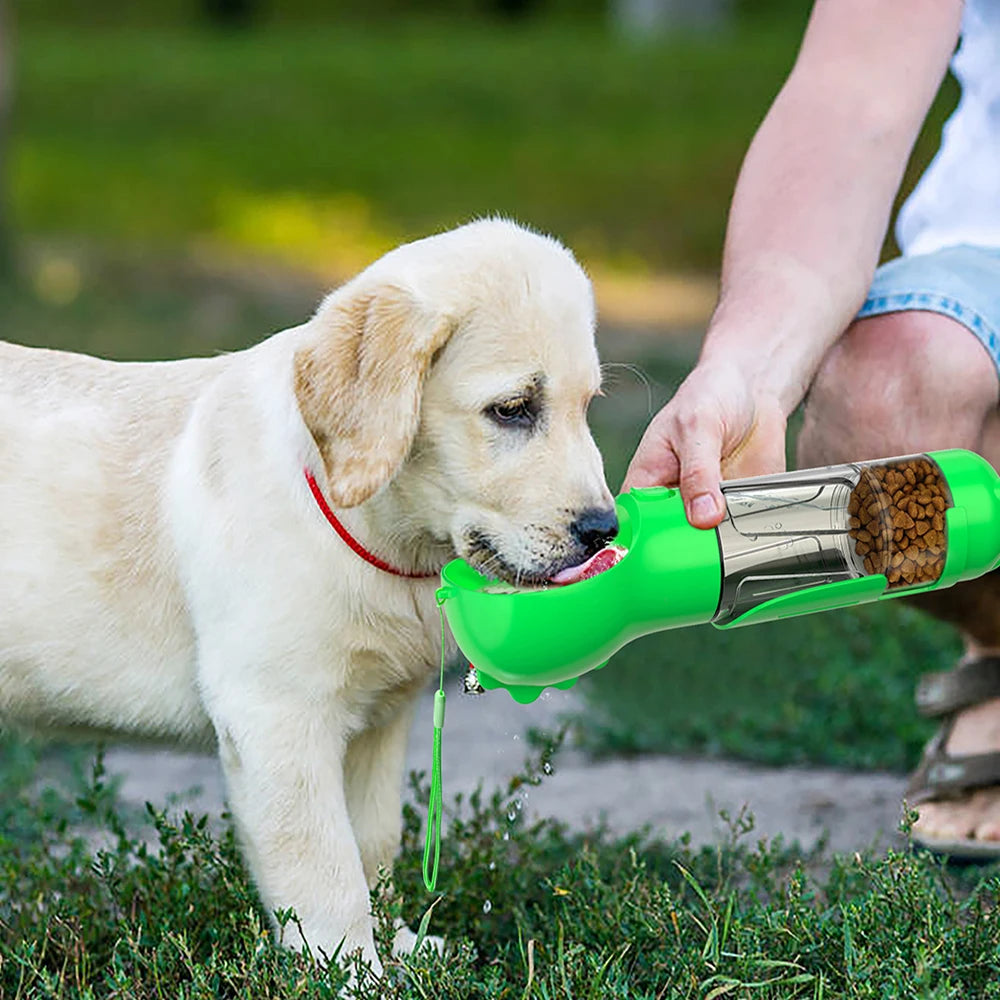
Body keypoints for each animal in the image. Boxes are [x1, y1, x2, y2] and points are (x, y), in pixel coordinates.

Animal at [0, 219, 616, 976]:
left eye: (587, 408)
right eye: (513, 410)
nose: (604, 530)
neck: (381, 536)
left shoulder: (379, 721)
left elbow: (373, 844)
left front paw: (398, 948)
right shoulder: (276, 717)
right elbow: (324, 868)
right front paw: (351, 972)